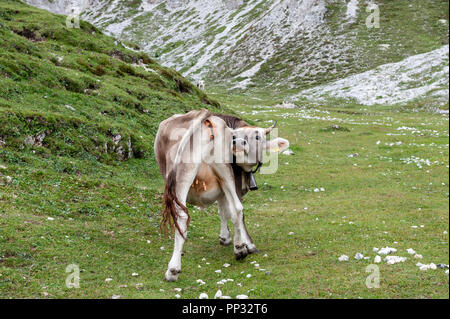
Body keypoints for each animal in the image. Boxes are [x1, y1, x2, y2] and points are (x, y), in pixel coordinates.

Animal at [154, 109, 288, 282]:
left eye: (258, 137)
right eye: (235, 135)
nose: (237, 142)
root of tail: (206, 119)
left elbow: (225, 210)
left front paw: (228, 238)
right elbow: (228, 211)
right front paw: (244, 243)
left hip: (192, 174)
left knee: (186, 216)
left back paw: (174, 269)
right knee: (234, 209)